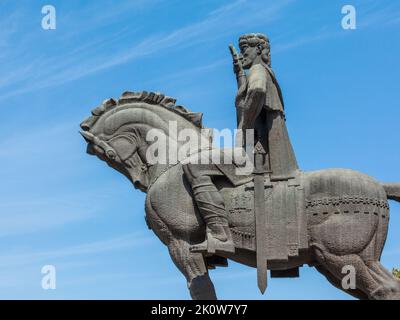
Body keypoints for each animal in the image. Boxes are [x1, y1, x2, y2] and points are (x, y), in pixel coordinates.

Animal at [79, 90, 400, 300]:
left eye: (108, 154)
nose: (138, 180)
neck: (177, 159)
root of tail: (378, 185)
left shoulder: (180, 244)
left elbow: (202, 289)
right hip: (345, 261)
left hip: (343, 255)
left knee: (384, 289)